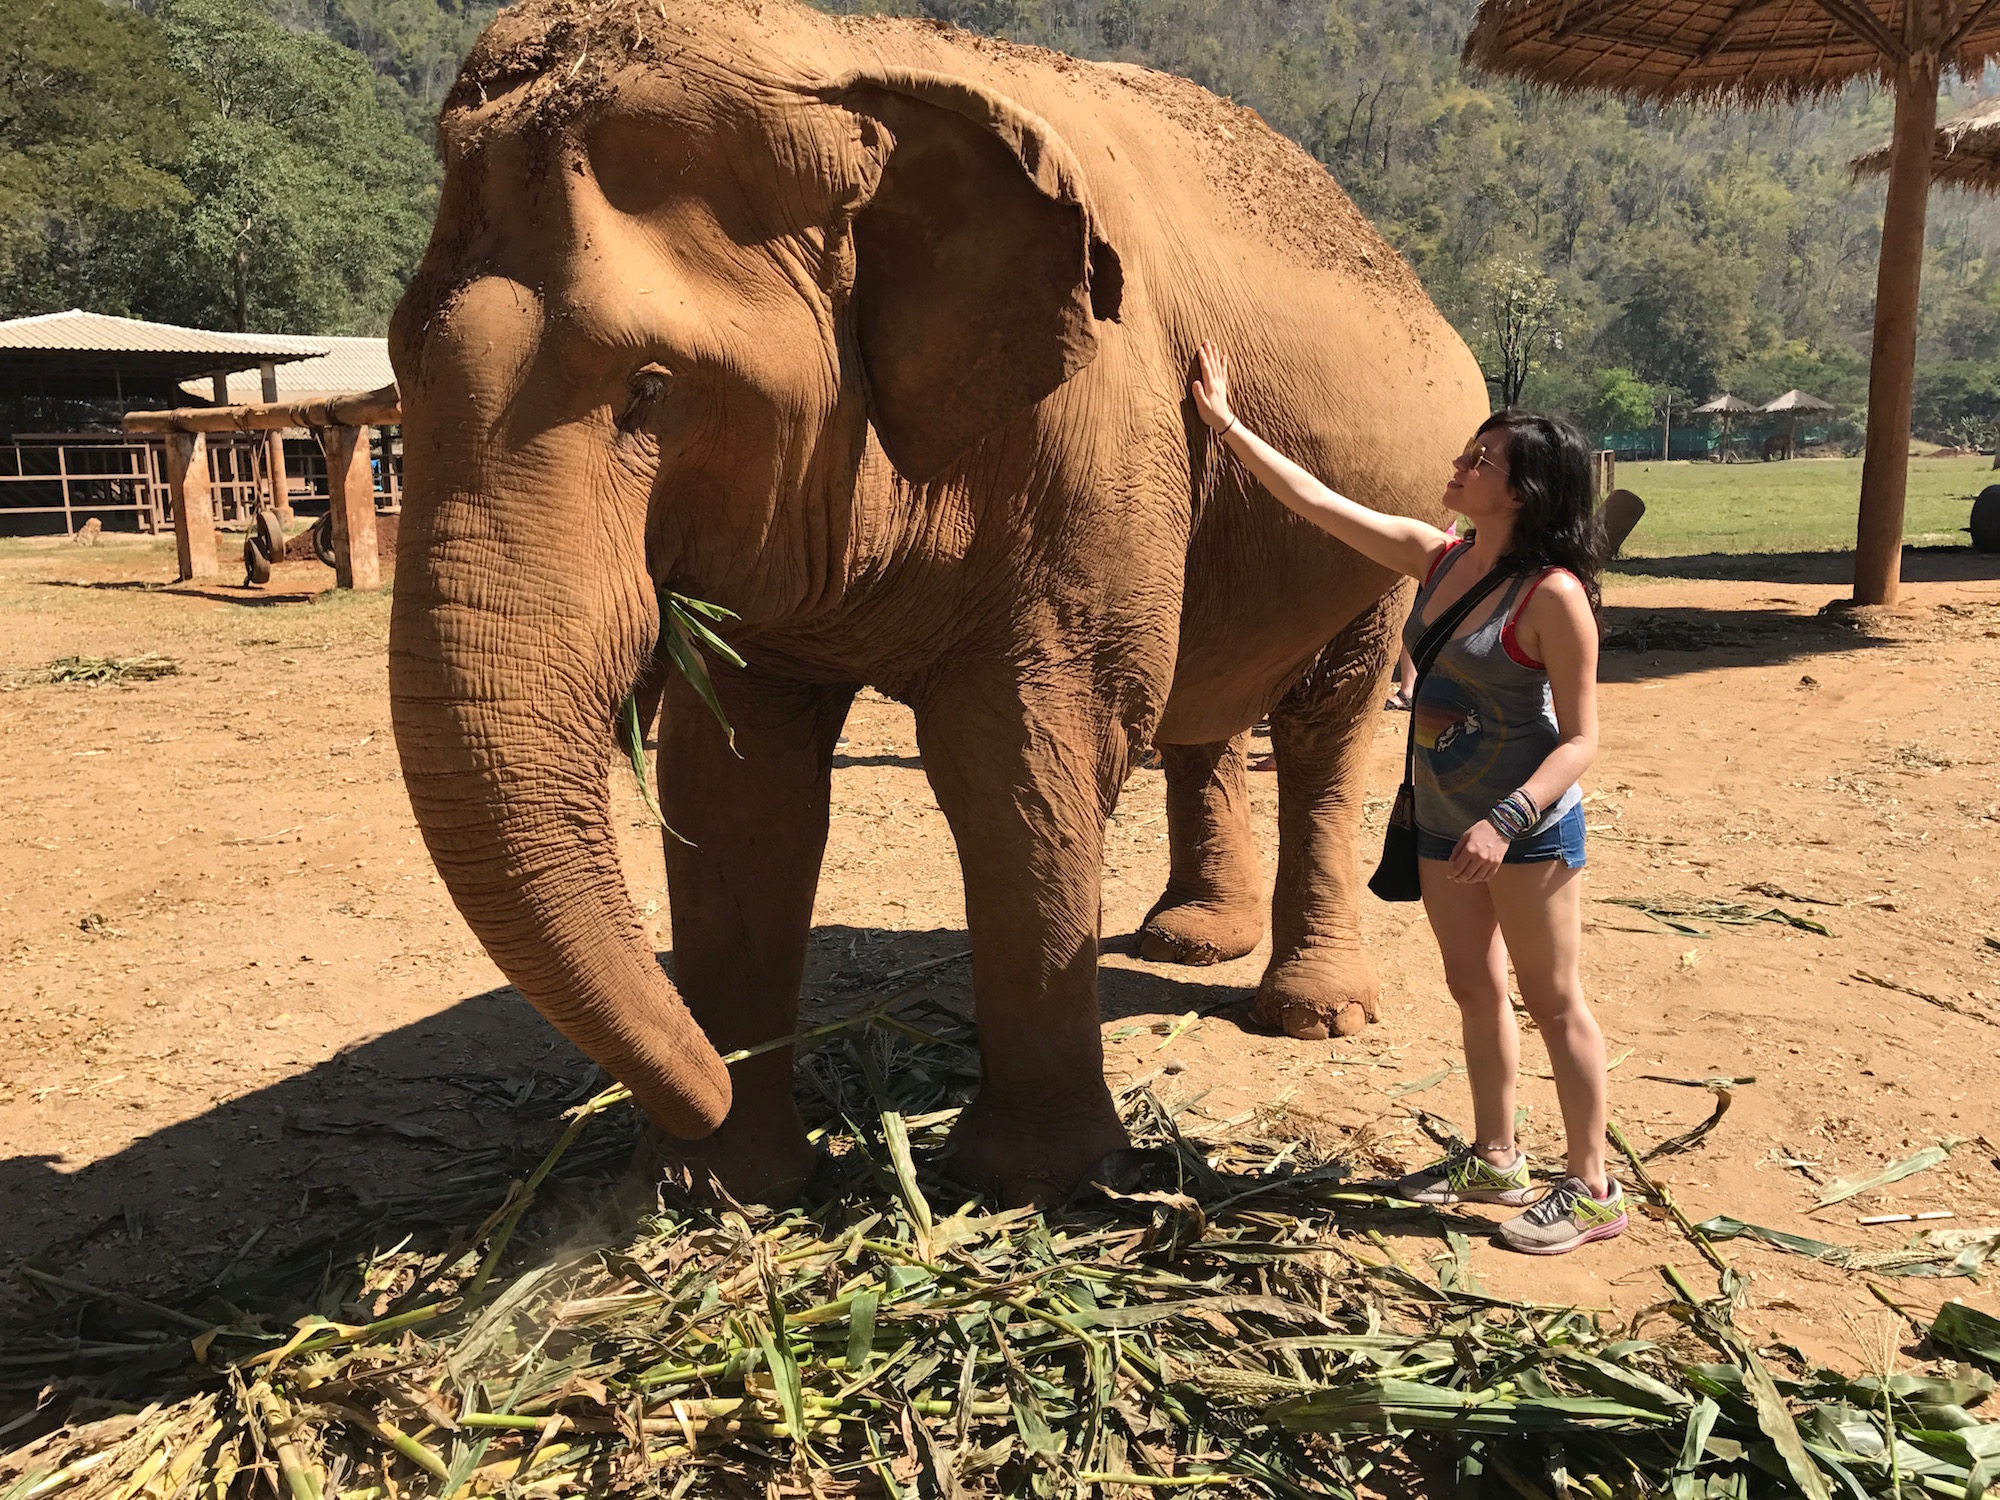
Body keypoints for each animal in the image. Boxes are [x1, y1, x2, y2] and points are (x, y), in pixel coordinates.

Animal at [386, 0, 1489, 1207]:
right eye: (398, 365)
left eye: (650, 389)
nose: (696, 1084)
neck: (837, 66)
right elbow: (738, 786)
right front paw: (726, 1186)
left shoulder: (1095, 430)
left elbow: (1020, 756)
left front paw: (1034, 1182)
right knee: (1200, 708)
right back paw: (1187, 942)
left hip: (1395, 532)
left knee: (1325, 727)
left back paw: (1308, 1012)